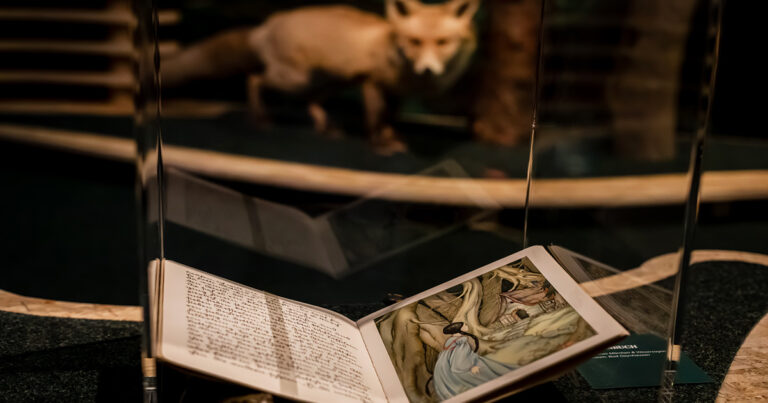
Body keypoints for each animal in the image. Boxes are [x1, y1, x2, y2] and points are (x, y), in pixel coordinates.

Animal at [164, 0, 480, 155]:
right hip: (293, 79)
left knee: (311, 101)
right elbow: (375, 120)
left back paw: (325, 127)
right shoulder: (372, 83)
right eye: (414, 41)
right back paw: (260, 118)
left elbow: (390, 119)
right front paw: (380, 146)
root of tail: (269, 24)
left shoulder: (395, 92)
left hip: (327, 83)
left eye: (442, 42)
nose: (427, 69)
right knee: (254, 79)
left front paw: (393, 137)